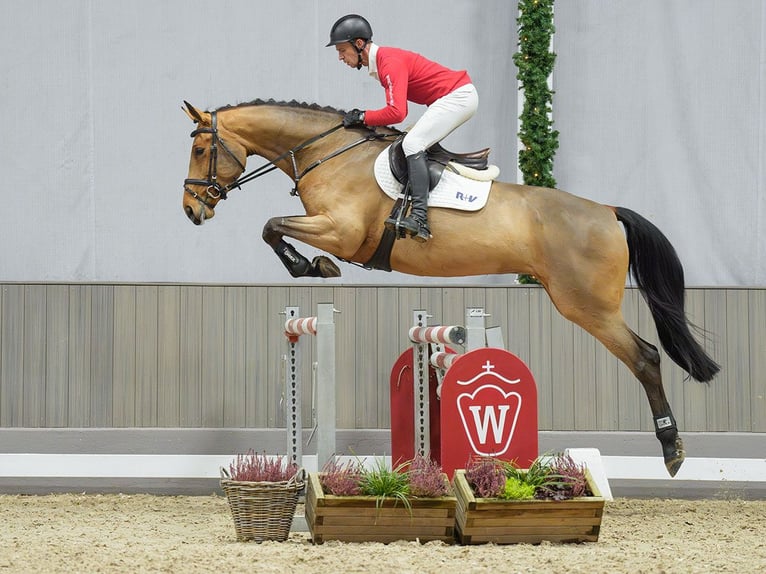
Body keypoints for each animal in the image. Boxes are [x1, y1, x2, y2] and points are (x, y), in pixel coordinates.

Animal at [183, 98, 724, 476]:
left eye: (201, 149)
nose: (191, 210)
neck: (325, 154)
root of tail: (607, 211)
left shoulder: (341, 232)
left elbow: (272, 226)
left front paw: (312, 266)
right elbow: (273, 227)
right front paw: (310, 265)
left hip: (588, 306)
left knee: (645, 357)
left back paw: (672, 450)